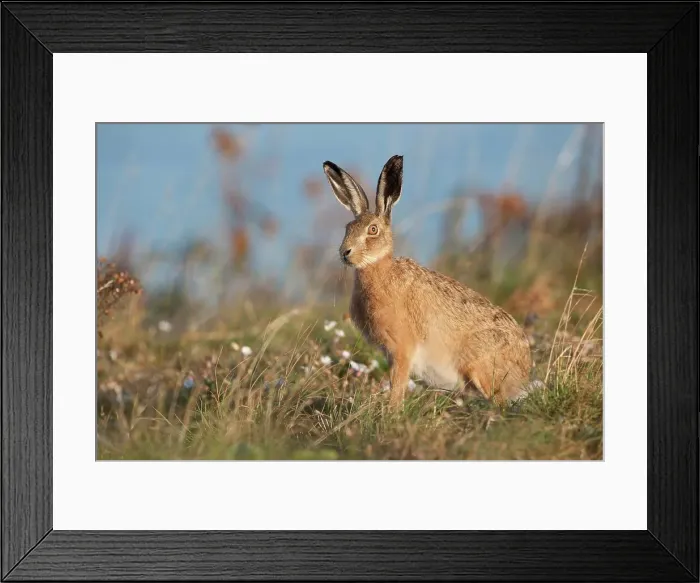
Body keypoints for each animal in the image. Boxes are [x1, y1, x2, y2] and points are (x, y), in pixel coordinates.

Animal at [322, 154, 540, 408]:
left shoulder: (402, 350)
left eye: (373, 230)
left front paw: (392, 411)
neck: (379, 269)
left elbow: (397, 387)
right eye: (347, 228)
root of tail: (523, 372)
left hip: (481, 366)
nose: (344, 252)